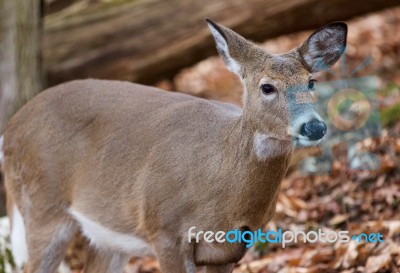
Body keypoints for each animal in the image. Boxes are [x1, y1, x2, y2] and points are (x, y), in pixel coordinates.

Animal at [1, 19, 346, 272]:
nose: (314, 126)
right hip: (42, 205)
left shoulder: (230, 249)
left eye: (311, 82)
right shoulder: (164, 230)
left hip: (105, 235)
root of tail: (11, 126)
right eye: (267, 87)